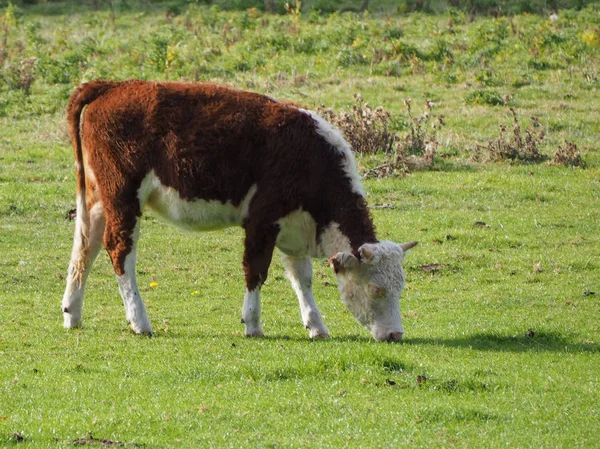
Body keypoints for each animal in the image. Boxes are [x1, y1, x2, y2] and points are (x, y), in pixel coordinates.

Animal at [62, 79, 418, 340]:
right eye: (375, 289)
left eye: (401, 287)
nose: (395, 335)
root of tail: (115, 85)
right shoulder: (262, 221)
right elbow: (255, 270)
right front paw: (253, 324)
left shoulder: (294, 226)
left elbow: (301, 278)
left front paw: (316, 326)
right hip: (124, 196)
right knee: (119, 249)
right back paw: (139, 321)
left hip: (98, 199)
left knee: (85, 246)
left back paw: (72, 314)